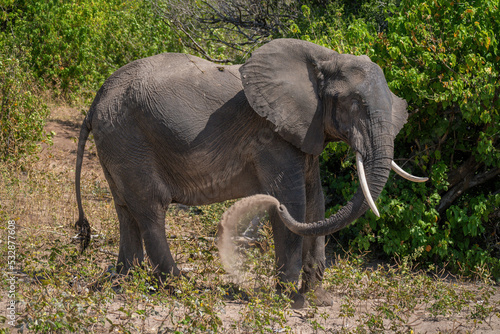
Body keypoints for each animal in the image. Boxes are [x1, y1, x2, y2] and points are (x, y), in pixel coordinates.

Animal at [74, 38, 426, 308]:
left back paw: (124, 281)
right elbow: (294, 200)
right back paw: (182, 287)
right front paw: (291, 300)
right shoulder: (271, 135)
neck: (326, 58)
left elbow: (317, 201)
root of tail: (95, 100)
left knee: (126, 209)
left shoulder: (305, 129)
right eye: (354, 104)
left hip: (117, 140)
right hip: (128, 137)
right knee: (150, 208)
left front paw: (320, 300)